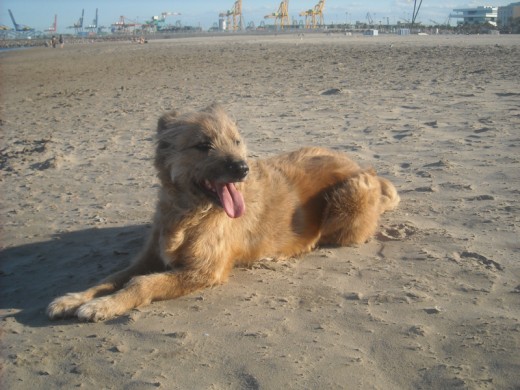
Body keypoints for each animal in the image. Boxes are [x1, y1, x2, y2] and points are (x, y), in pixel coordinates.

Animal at [46, 103, 400, 320]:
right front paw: (75, 298)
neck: (188, 214)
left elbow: (141, 284)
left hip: (348, 195)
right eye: (203, 145)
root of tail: (365, 168)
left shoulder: (205, 270)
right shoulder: (147, 258)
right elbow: (112, 277)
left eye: (237, 141)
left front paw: (105, 305)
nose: (242, 168)